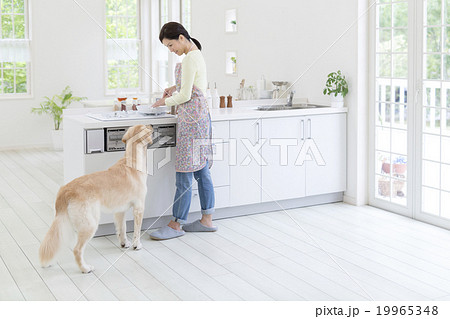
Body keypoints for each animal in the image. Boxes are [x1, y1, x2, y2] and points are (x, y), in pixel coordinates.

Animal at [37, 124, 153, 274]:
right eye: (146, 126)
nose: (152, 125)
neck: (132, 161)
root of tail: (65, 189)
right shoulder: (139, 207)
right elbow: (137, 231)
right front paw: (136, 245)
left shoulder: (120, 211)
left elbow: (122, 228)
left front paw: (124, 243)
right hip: (90, 224)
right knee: (77, 250)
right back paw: (85, 268)